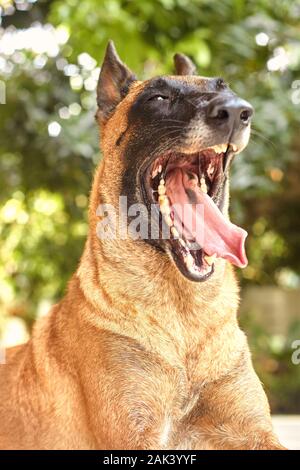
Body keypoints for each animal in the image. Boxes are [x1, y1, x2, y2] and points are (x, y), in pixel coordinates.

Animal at [0, 42, 284, 450]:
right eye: (159, 97)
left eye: (225, 87)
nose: (236, 111)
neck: (184, 316)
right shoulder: (136, 435)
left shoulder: (254, 430)